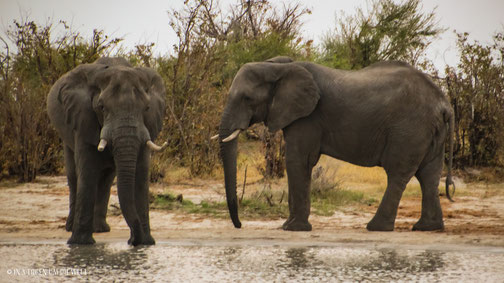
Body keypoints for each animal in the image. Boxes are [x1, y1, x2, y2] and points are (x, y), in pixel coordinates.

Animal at [46, 57, 166, 246]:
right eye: (101, 107)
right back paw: (71, 228)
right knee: (74, 176)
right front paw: (80, 243)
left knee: (106, 179)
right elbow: (87, 171)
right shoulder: (83, 118)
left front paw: (146, 243)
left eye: (147, 108)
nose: (133, 240)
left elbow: (141, 174)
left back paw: (100, 229)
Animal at [216, 57, 452, 233]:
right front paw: (288, 225)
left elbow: (298, 160)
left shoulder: (308, 117)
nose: (240, 225)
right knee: (429, 174)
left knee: (398, 173)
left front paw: (293, 228)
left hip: (409, 129)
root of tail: (444, 103)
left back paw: (376, 227)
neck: (278, 66)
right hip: (429, 132)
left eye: (247, 98)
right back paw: (427, 227)